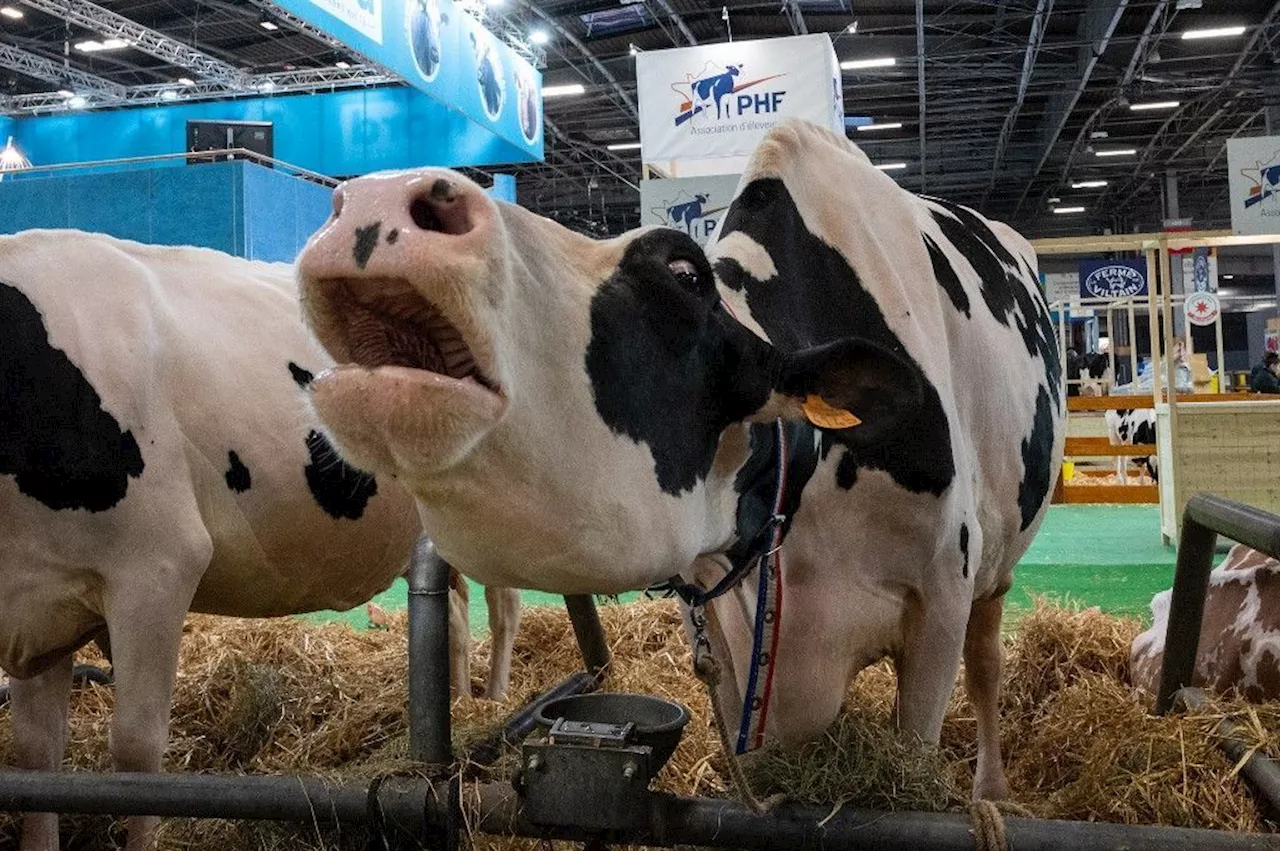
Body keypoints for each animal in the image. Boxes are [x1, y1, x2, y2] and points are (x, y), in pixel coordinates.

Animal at [1, 227, 519, 849]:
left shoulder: (158, 566)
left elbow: (136, 752)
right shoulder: (40, 600)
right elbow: (36, 758)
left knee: (504, 602)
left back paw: (494, 701)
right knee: (457, 609)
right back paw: (461, 701)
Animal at [299, 119, 1070, 798]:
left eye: (683, 272)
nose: (377, 198)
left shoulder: (940, 594)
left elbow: (919, 748)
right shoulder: (723, 618)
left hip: (997, 564)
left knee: (987, 661)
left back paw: (992, 786)